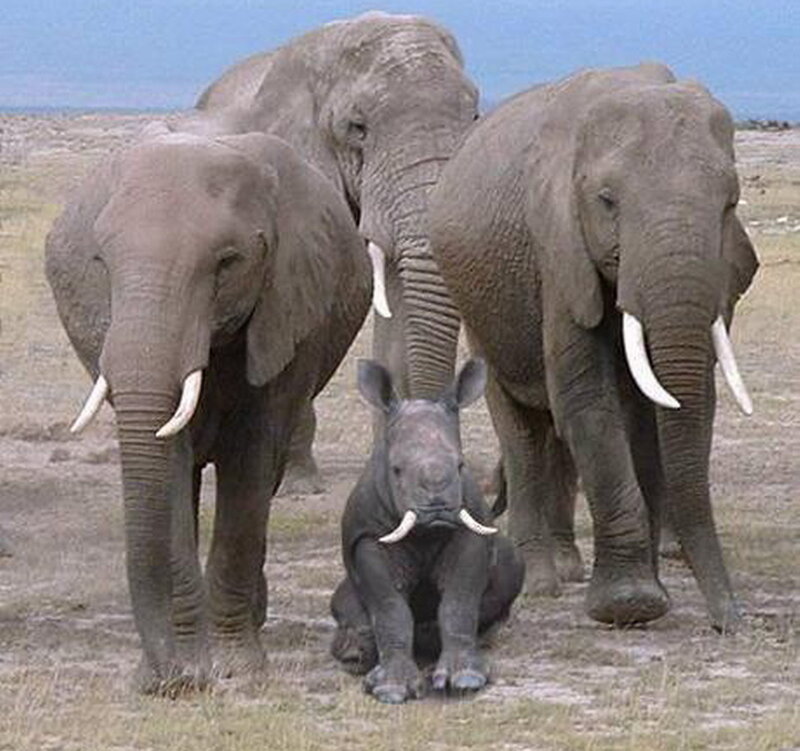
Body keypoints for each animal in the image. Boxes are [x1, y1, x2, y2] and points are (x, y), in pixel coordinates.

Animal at [45, 130, 371, 693]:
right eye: (101, 264)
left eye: (227, 263)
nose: (164, 680)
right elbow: (169, 464)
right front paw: (190, 669)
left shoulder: (285, 311)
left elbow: (250, 465)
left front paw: (237, 671)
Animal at [330, 359, 525, 703]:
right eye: (396, 470)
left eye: (461, 466)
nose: (437, 510)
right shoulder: (367, 537)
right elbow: (389, 606)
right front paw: (391, 689)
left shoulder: (470, 531)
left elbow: (458, 600)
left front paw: (466, 679)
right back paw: (355, 654)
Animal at [429, 63, 758, 632]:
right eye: (607, 202)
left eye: (730, 203)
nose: (730, 622)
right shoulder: (558, 249)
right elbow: (587, 398)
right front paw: (630, 605)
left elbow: (661, 407)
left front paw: (652, 594)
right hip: (477, 307)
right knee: (521, 429)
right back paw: (540, 582)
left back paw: (565, 568)